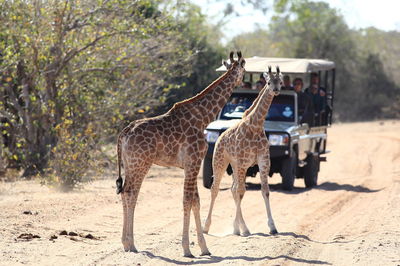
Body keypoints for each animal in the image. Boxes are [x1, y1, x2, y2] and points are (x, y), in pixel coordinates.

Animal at [115, 51, 247, 256]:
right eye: (245, 68)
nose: (245, 84)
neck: (203, 117)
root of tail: (124, 133)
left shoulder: (190, 165)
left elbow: (195, 201)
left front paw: (204, 248)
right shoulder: (194, 162)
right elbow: (187, 201)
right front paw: (187, 249)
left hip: (129, 164)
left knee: (125, 193)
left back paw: (126, 243)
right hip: (141, 163)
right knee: (131, 193)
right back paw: (131, 243)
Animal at [203, 65, 284, 236]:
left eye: (280, 81)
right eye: (268, 82)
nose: (276, 90)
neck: (256, 125)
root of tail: (220, 138)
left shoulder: (263, 161)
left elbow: (265, 191)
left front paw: (272, 227)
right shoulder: (243, 162)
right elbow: (241, 192)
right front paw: (245, 230)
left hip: (234, 165)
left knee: (233, 189)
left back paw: (235, 228)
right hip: (220, 161)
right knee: (216, 189)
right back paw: (207, 227)